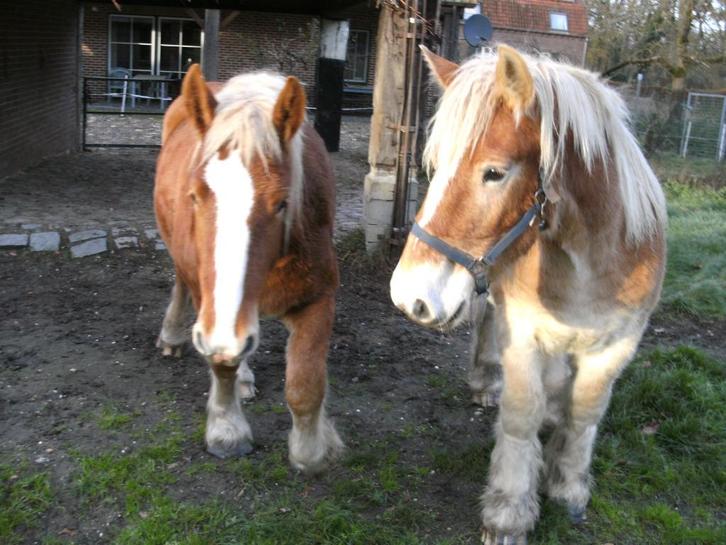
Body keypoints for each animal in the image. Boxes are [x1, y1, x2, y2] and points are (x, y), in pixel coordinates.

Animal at [154, 65, 343, 473]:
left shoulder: (319, 297)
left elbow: (306, 383)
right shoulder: (211, 310)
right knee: (181, 284)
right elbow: (221, 361)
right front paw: (227, 432)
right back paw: (173, 335)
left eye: (282, 203)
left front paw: (310, 450)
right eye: (195, 195)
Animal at [390, 45, 666, 543]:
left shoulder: (618, 345)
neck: (585, 262)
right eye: (434, 166)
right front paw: (508, 511)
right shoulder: (523, 335)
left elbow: (585, 411)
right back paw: (485, 383)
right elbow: (521, 417)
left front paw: (568, 485)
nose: (408, 297)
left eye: (494, 173)